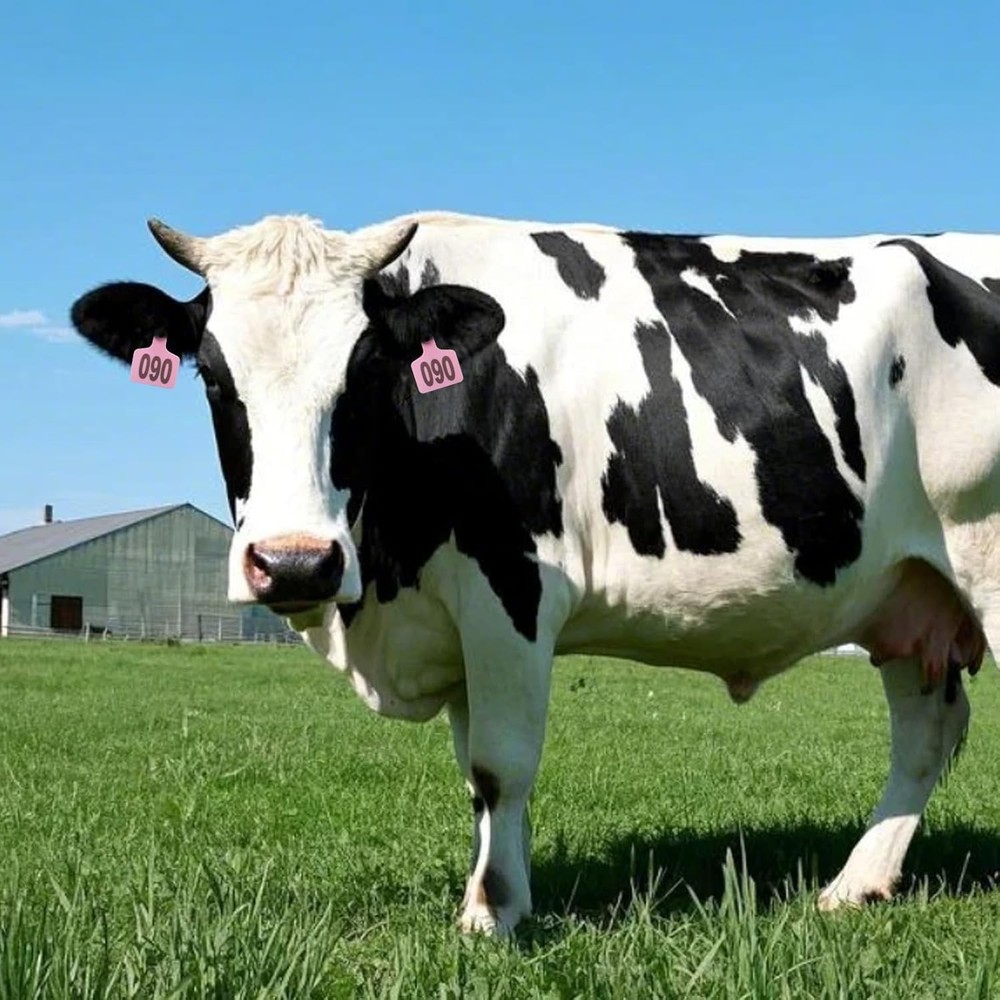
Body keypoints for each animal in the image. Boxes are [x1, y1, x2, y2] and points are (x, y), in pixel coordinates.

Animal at [70, 211, 1000, 935]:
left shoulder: (509, 588)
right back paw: (855, 885)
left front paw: (492, 913)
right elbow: (474, 777)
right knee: (927, 732)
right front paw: (501, 892)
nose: (294, 561)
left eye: (363, 371)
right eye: (211, 374)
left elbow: (500, 764)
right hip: (910, 590)